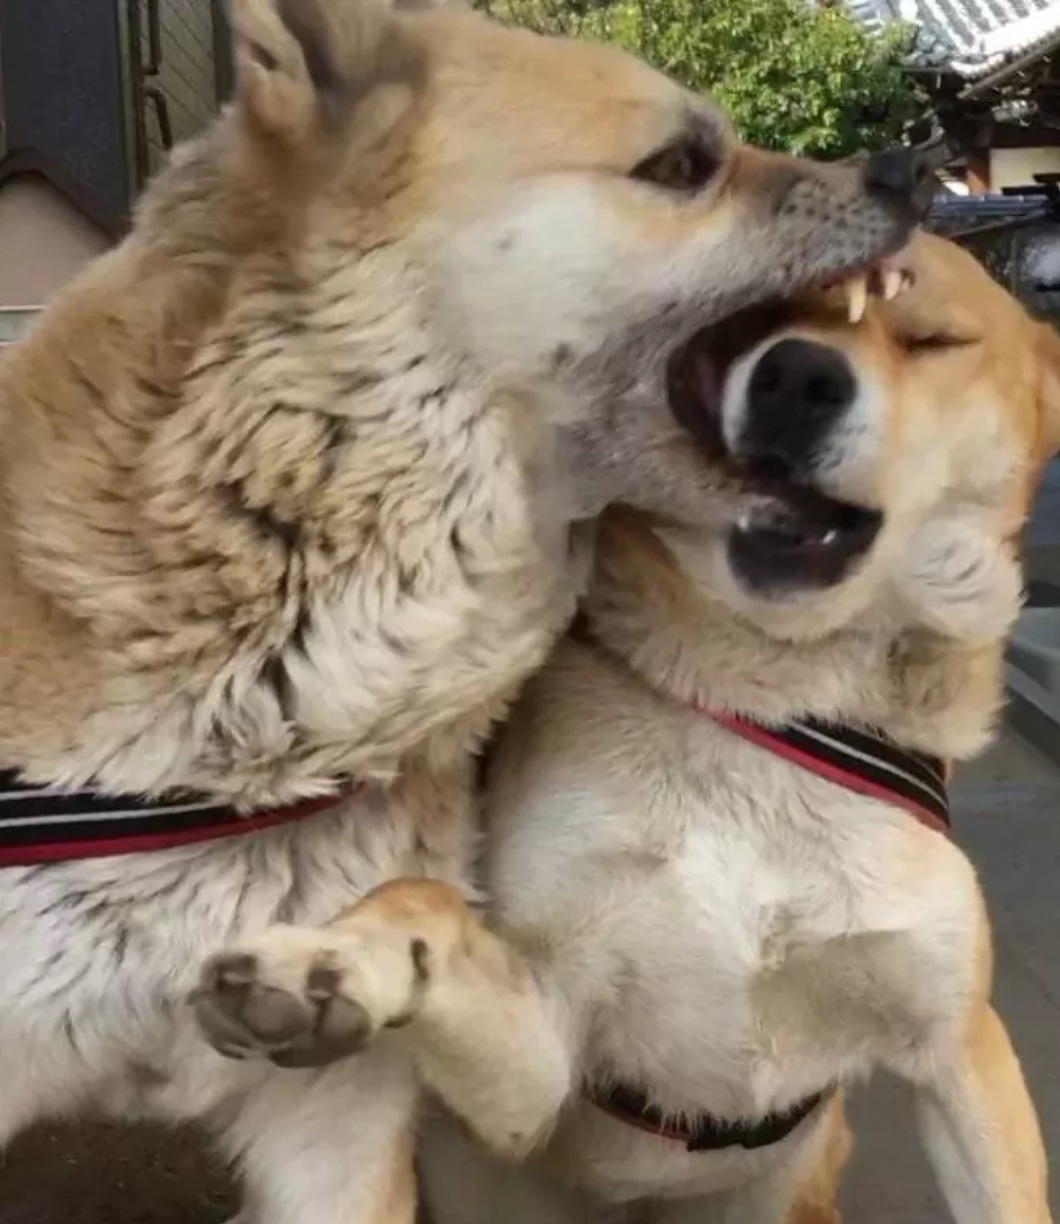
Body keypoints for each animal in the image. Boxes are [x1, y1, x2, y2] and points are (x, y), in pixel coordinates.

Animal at [193, 231, 1058, 1224]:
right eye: (745, 328)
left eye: (933, 339)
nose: (795, 377)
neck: (772, 705)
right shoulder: (544, 1063)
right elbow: (428, 903)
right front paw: (333, 959)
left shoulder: (962, 1048)